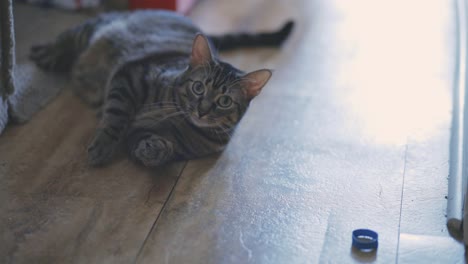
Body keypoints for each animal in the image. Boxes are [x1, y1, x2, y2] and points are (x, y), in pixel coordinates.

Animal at [29, 10, 294, 167]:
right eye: (198, 88)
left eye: (224, 101)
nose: (202, 110)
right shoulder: (131, 75)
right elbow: (116, 117)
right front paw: (103, 146)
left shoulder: (147, 132)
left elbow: (155, 146)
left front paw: (156, 149)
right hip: (92, 30)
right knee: (67, 36)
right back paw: (48, 54)